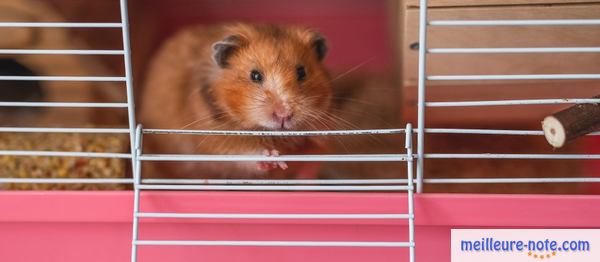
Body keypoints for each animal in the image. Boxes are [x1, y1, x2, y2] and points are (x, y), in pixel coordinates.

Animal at [141, 23, 336, 179]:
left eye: (302, 72)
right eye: (255, 75)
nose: (284, 116)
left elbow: (316, 151)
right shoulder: (216, 139)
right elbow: (243, 153)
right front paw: (274, 159)